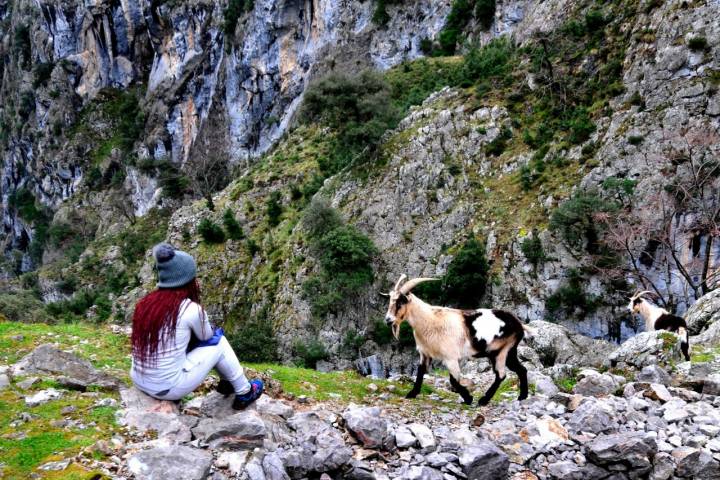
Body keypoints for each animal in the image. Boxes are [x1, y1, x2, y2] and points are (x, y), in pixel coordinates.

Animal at [382, 274, 528, 404]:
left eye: (400, 302)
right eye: (390, 301)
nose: (388, 320)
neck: (430, 320)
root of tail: (519, 324)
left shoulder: (450, 356)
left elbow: (454, 380)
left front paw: (468, 398)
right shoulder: (425, 353)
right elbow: (420, 372)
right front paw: (411, 394)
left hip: (501, 351)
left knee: (501, 374)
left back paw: (484, 400)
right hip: (509, 351)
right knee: (521, 369)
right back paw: (522, 396)